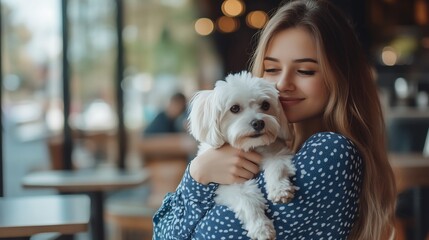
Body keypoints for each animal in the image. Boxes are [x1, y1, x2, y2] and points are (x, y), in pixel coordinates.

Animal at [189, 70, 296, 239]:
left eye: (265, 105)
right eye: (234, 108)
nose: (258, 123)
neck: (250, 147)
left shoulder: (278, 153)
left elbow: (277, 167)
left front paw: (279, 189)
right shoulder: (227, 185)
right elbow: (247, 199)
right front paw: (261, 227)